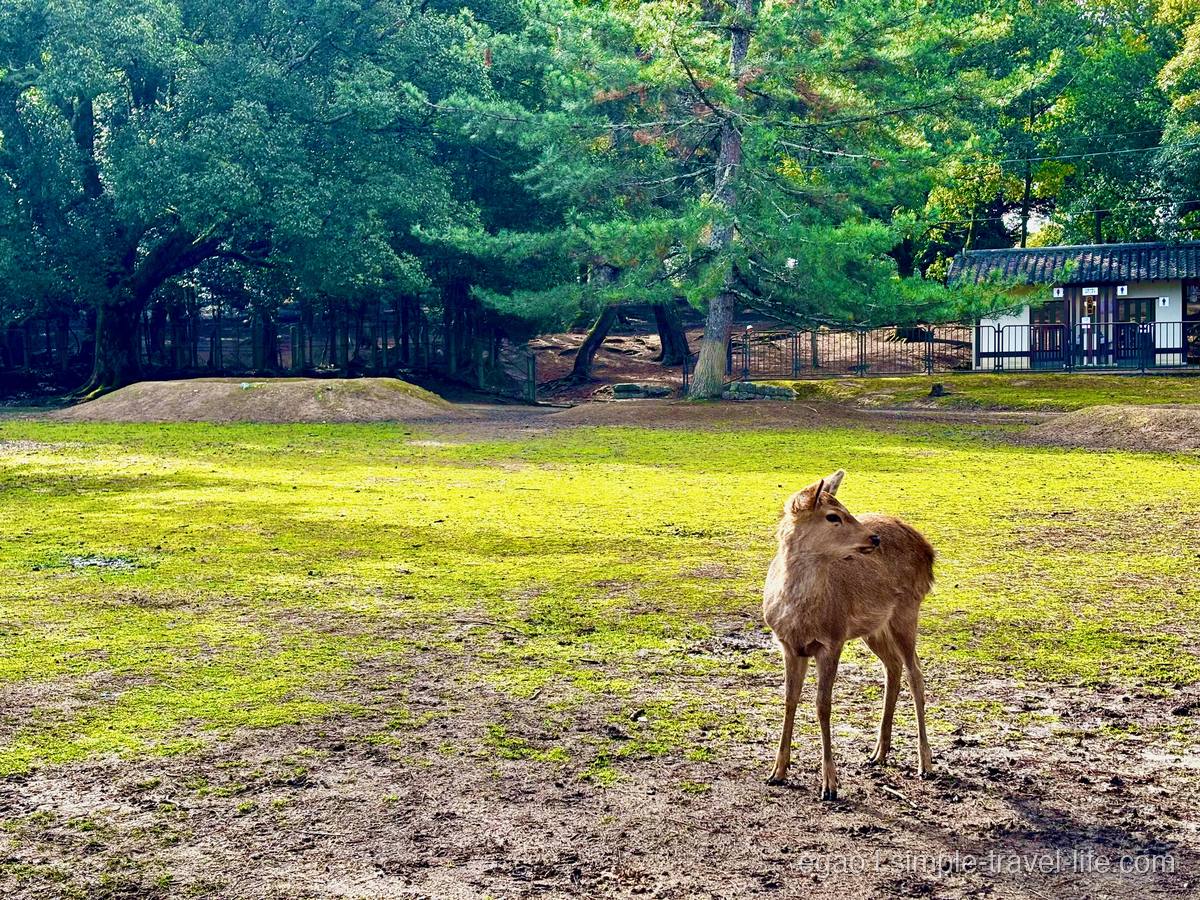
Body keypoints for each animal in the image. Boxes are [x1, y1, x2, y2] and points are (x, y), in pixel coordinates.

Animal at [762, 470, 935, 800]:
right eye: (833, 516)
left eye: (844, 508)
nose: (874, 538)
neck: (800, 615)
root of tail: (928, 549)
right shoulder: (788, 645)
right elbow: (789, 699)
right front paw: (777, 772)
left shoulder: (833, 639)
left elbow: (823, 706)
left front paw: (830, 784)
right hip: (874, 627)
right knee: (893, 667)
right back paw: (878, 752)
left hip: (907, 610)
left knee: (916, 674)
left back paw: (925, 763)